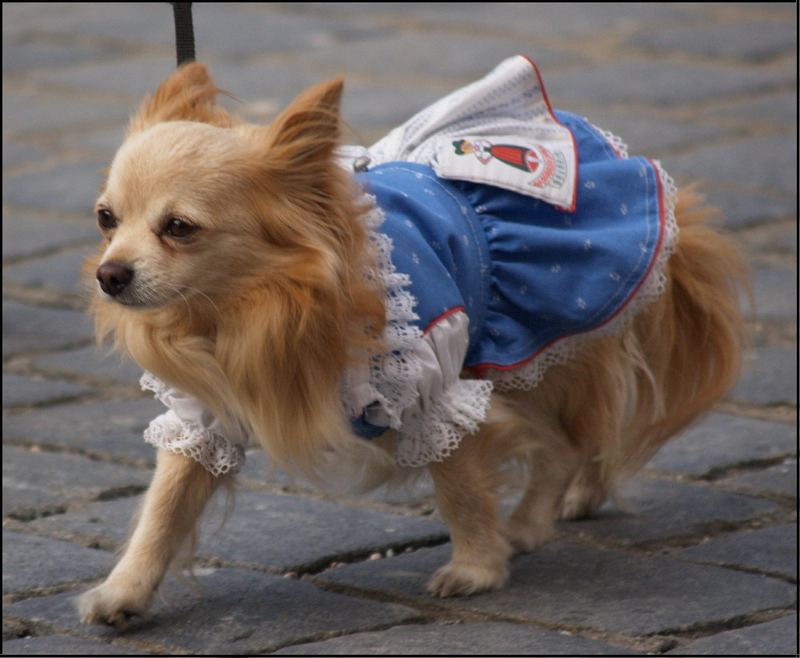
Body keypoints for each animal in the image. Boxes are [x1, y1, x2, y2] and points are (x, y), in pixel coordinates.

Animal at [78, 57, 748, 624]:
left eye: (179, 228)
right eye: (106, 219)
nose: (109, 274)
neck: (250, 310)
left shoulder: (434, 388)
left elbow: (459, 485)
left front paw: (477, 568)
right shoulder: (202, 419)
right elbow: (167, 506)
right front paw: (124, 590)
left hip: (539, 338)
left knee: (568, 440)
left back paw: (531, 521)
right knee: (570, 437)